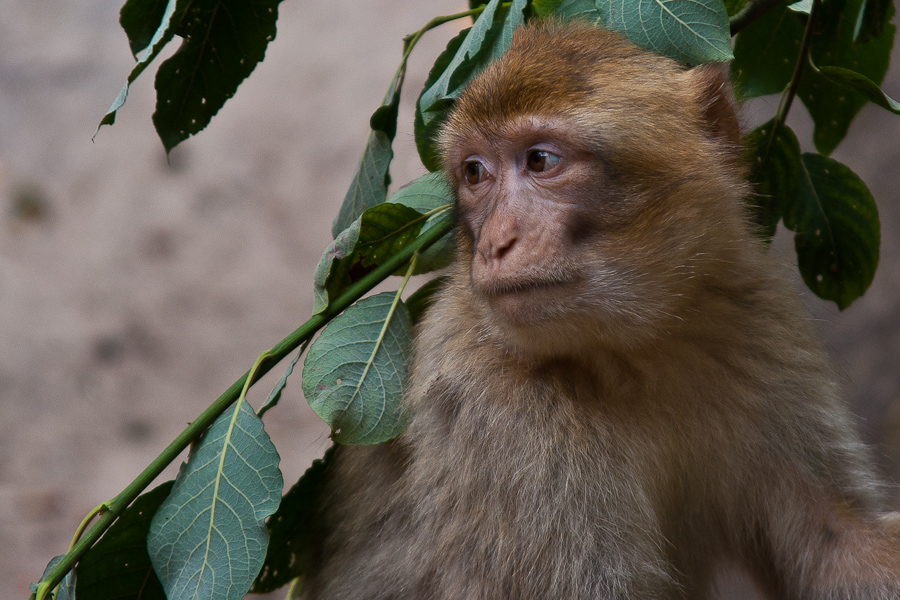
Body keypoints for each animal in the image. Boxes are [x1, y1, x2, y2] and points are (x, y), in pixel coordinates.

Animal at [298, 19, 900, 600]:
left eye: (540, 160)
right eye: (474, 173)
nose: (495, 244)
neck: (630, 349)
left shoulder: (753, 315)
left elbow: (835, 543)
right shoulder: (500, 413)